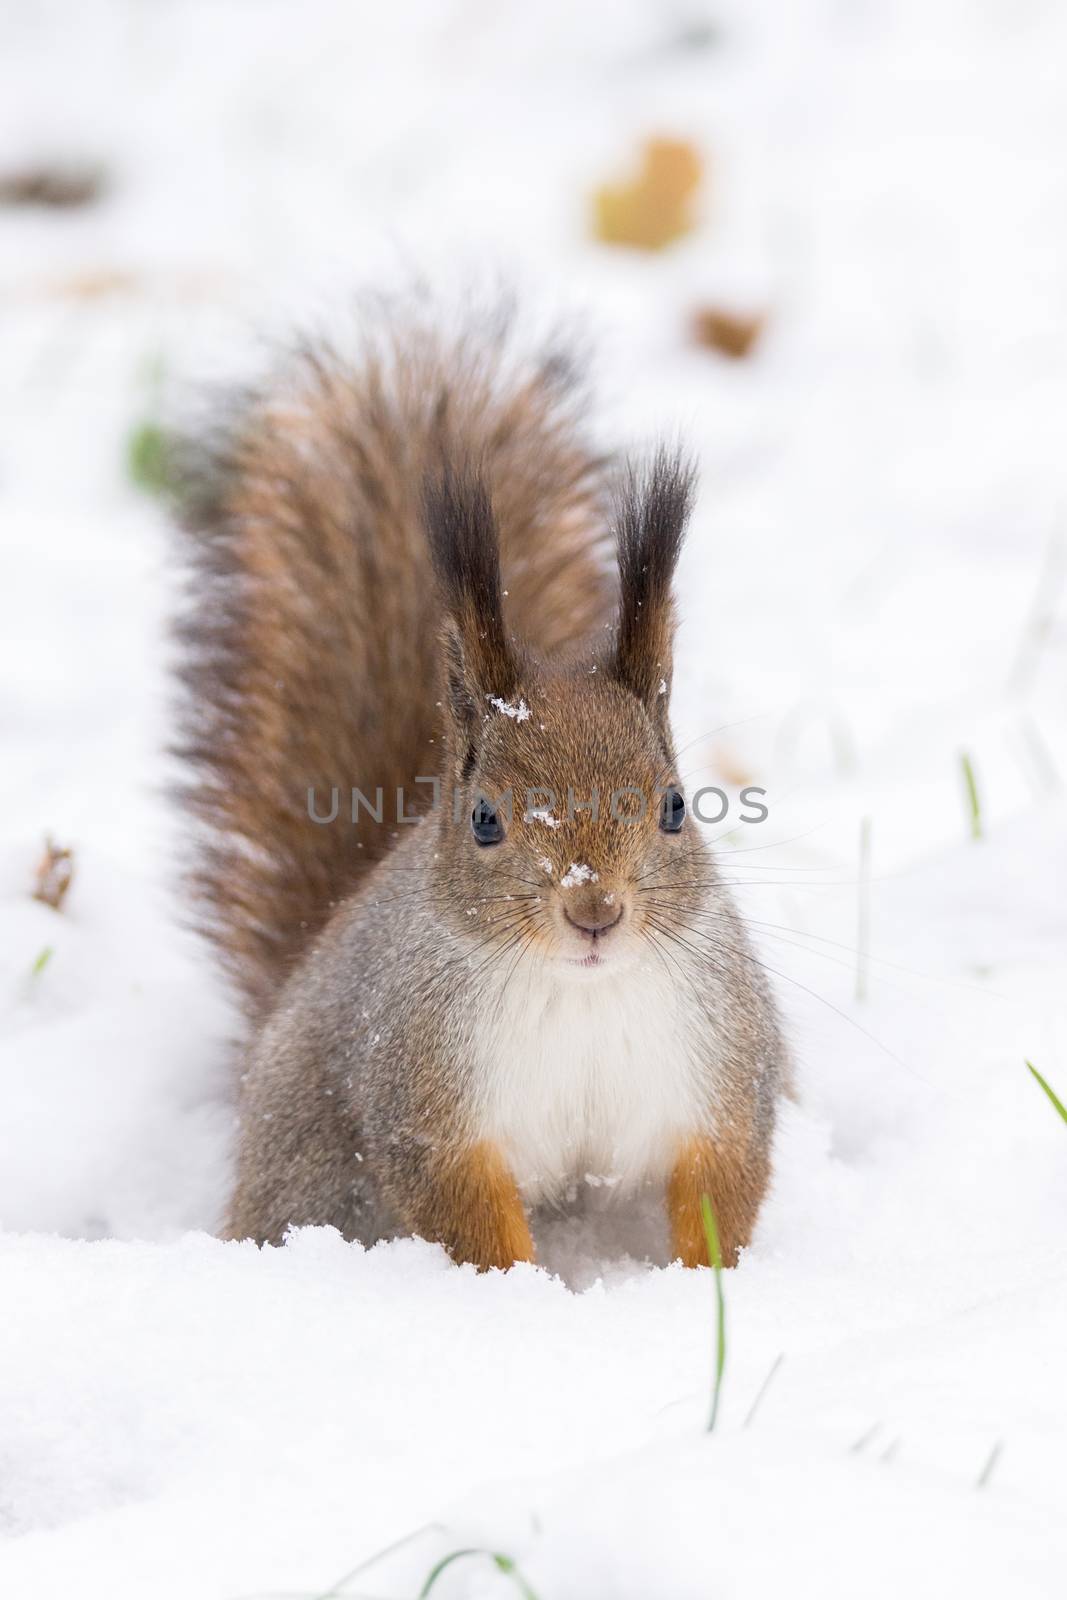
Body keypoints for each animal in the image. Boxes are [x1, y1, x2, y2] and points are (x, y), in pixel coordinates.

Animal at [173, 305, 783, 1267]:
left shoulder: (719, 1075)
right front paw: (518, 1292)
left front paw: (706, 1282)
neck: (580, 992)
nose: (594, 911)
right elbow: (468, 1214)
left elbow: (719, 1184)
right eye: (487, 820)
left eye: (675, 807)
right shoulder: (427, 1108)